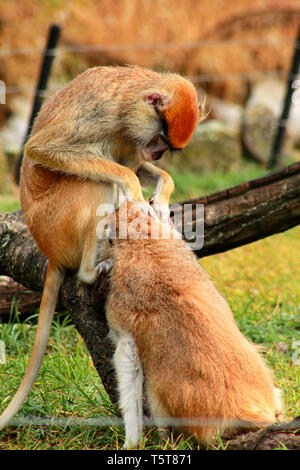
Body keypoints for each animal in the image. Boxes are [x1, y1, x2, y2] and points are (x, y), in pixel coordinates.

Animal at [0, 64, 203, 428]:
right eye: (162, 139)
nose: (157, 153)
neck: (130, 101)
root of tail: (47, 250)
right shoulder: (102, 113)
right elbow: (42, 148)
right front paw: (134, 189)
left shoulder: (130, 138)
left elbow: (138, 165)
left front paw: (161, 196)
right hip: (57, 224)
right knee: (95, 185)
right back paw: (91, 271)